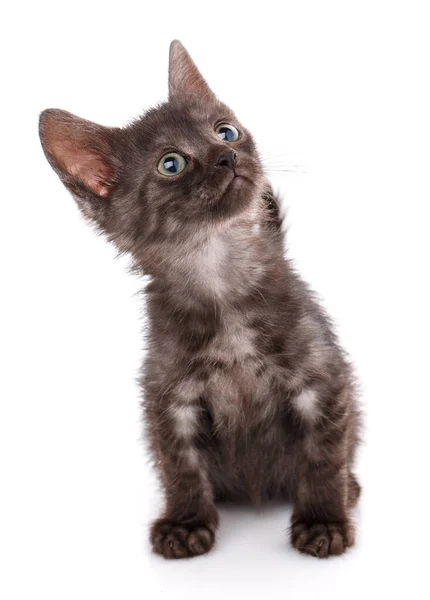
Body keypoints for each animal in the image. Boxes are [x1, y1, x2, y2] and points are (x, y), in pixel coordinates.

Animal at [39, 41, 360, 556]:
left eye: (225, 130)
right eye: (171, 163)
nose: (226, 155)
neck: (219, 275)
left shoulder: (322, 380)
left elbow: (325, 457)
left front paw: (324, 520)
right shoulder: (169, 398)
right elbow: (181, 466)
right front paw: (186, 523)